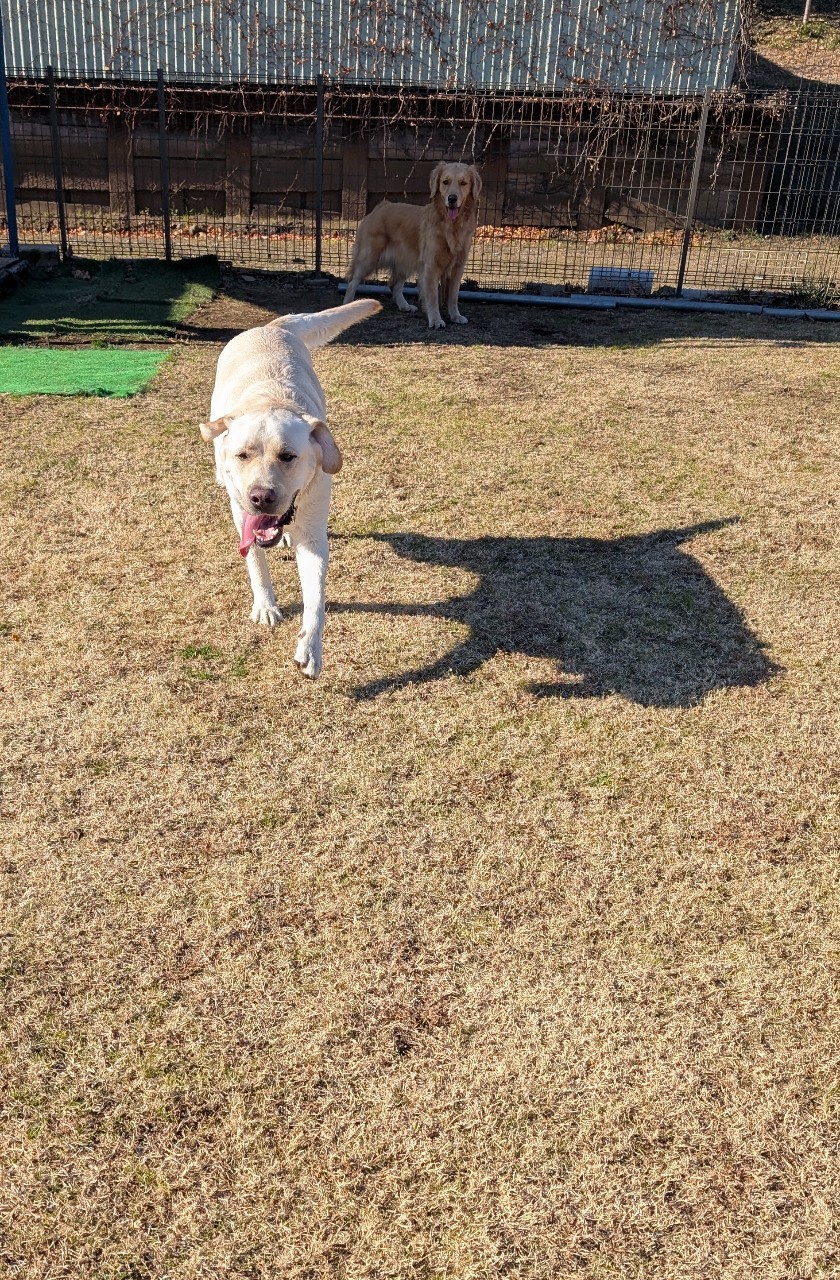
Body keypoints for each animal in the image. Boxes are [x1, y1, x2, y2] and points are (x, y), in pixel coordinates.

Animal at [199, 298, 381, 678]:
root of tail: (270, 327)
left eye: (288, 456)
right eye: (242, 455)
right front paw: (266, 605)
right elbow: (254, 558)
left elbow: (316, 599)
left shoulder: (312, 532)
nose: (261, 497)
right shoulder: (241, 512)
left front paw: (310, 648)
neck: (270, 400)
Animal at [344, 161, 482, 329]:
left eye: (463, 183)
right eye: (445, 182)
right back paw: (347, 305)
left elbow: (453, 296)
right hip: (368, 258)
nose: (452, 198)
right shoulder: (430, 267)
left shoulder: (457, 267)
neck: (450, 225)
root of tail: (381, 206)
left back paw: (404, 306)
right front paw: (435, 319)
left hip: (406, 260)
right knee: (352, 281)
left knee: (394, 285)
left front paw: (455, 316)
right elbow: (433, 297)